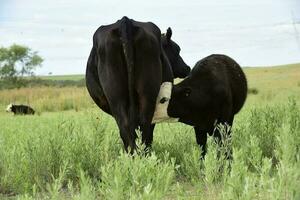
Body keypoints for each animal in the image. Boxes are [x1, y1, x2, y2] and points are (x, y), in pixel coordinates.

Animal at [85, 16, 191, 152]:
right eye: (177, 49)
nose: (187, 68)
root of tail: (125, 21)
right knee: (142, 126)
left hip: (119, 96)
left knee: (131, 126)